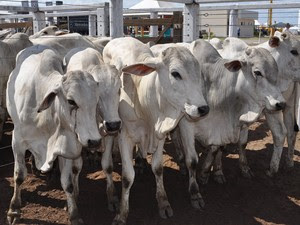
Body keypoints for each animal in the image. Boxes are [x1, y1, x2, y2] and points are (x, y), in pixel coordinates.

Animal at [6, 44, 101, 224]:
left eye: (96, 101)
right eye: (71, 101)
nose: (94, 141)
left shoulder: (64, 148)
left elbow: (68, 183)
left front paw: (74, 214)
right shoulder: (17, 141)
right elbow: (19, 175)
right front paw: (14, 210)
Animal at [103, 37, 209, 225]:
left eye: (198, 73)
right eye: (175, 73)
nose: (203, 108)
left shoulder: (159, 135)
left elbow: (158, 168)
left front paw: (163, 202)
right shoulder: (124, 136)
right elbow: (127, 177)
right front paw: (122, 214)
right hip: (110, 130)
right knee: (107, 165)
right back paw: (112, 195)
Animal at [168, 40, 284, 185]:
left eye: (276, 73)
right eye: (257, 72)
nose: (281, 104)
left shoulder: (229, 125)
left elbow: (221, 147)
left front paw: (214, 172)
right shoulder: (187, 123)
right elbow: (195, 156)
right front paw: (202, 175)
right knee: (175, 137)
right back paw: (182, 164)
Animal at [218, 31, 300, 176]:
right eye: (294, 51)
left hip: (282, 108)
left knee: (285, 133)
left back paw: (278, 167)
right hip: (286, 107)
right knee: (289, 132)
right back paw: (284, 164)